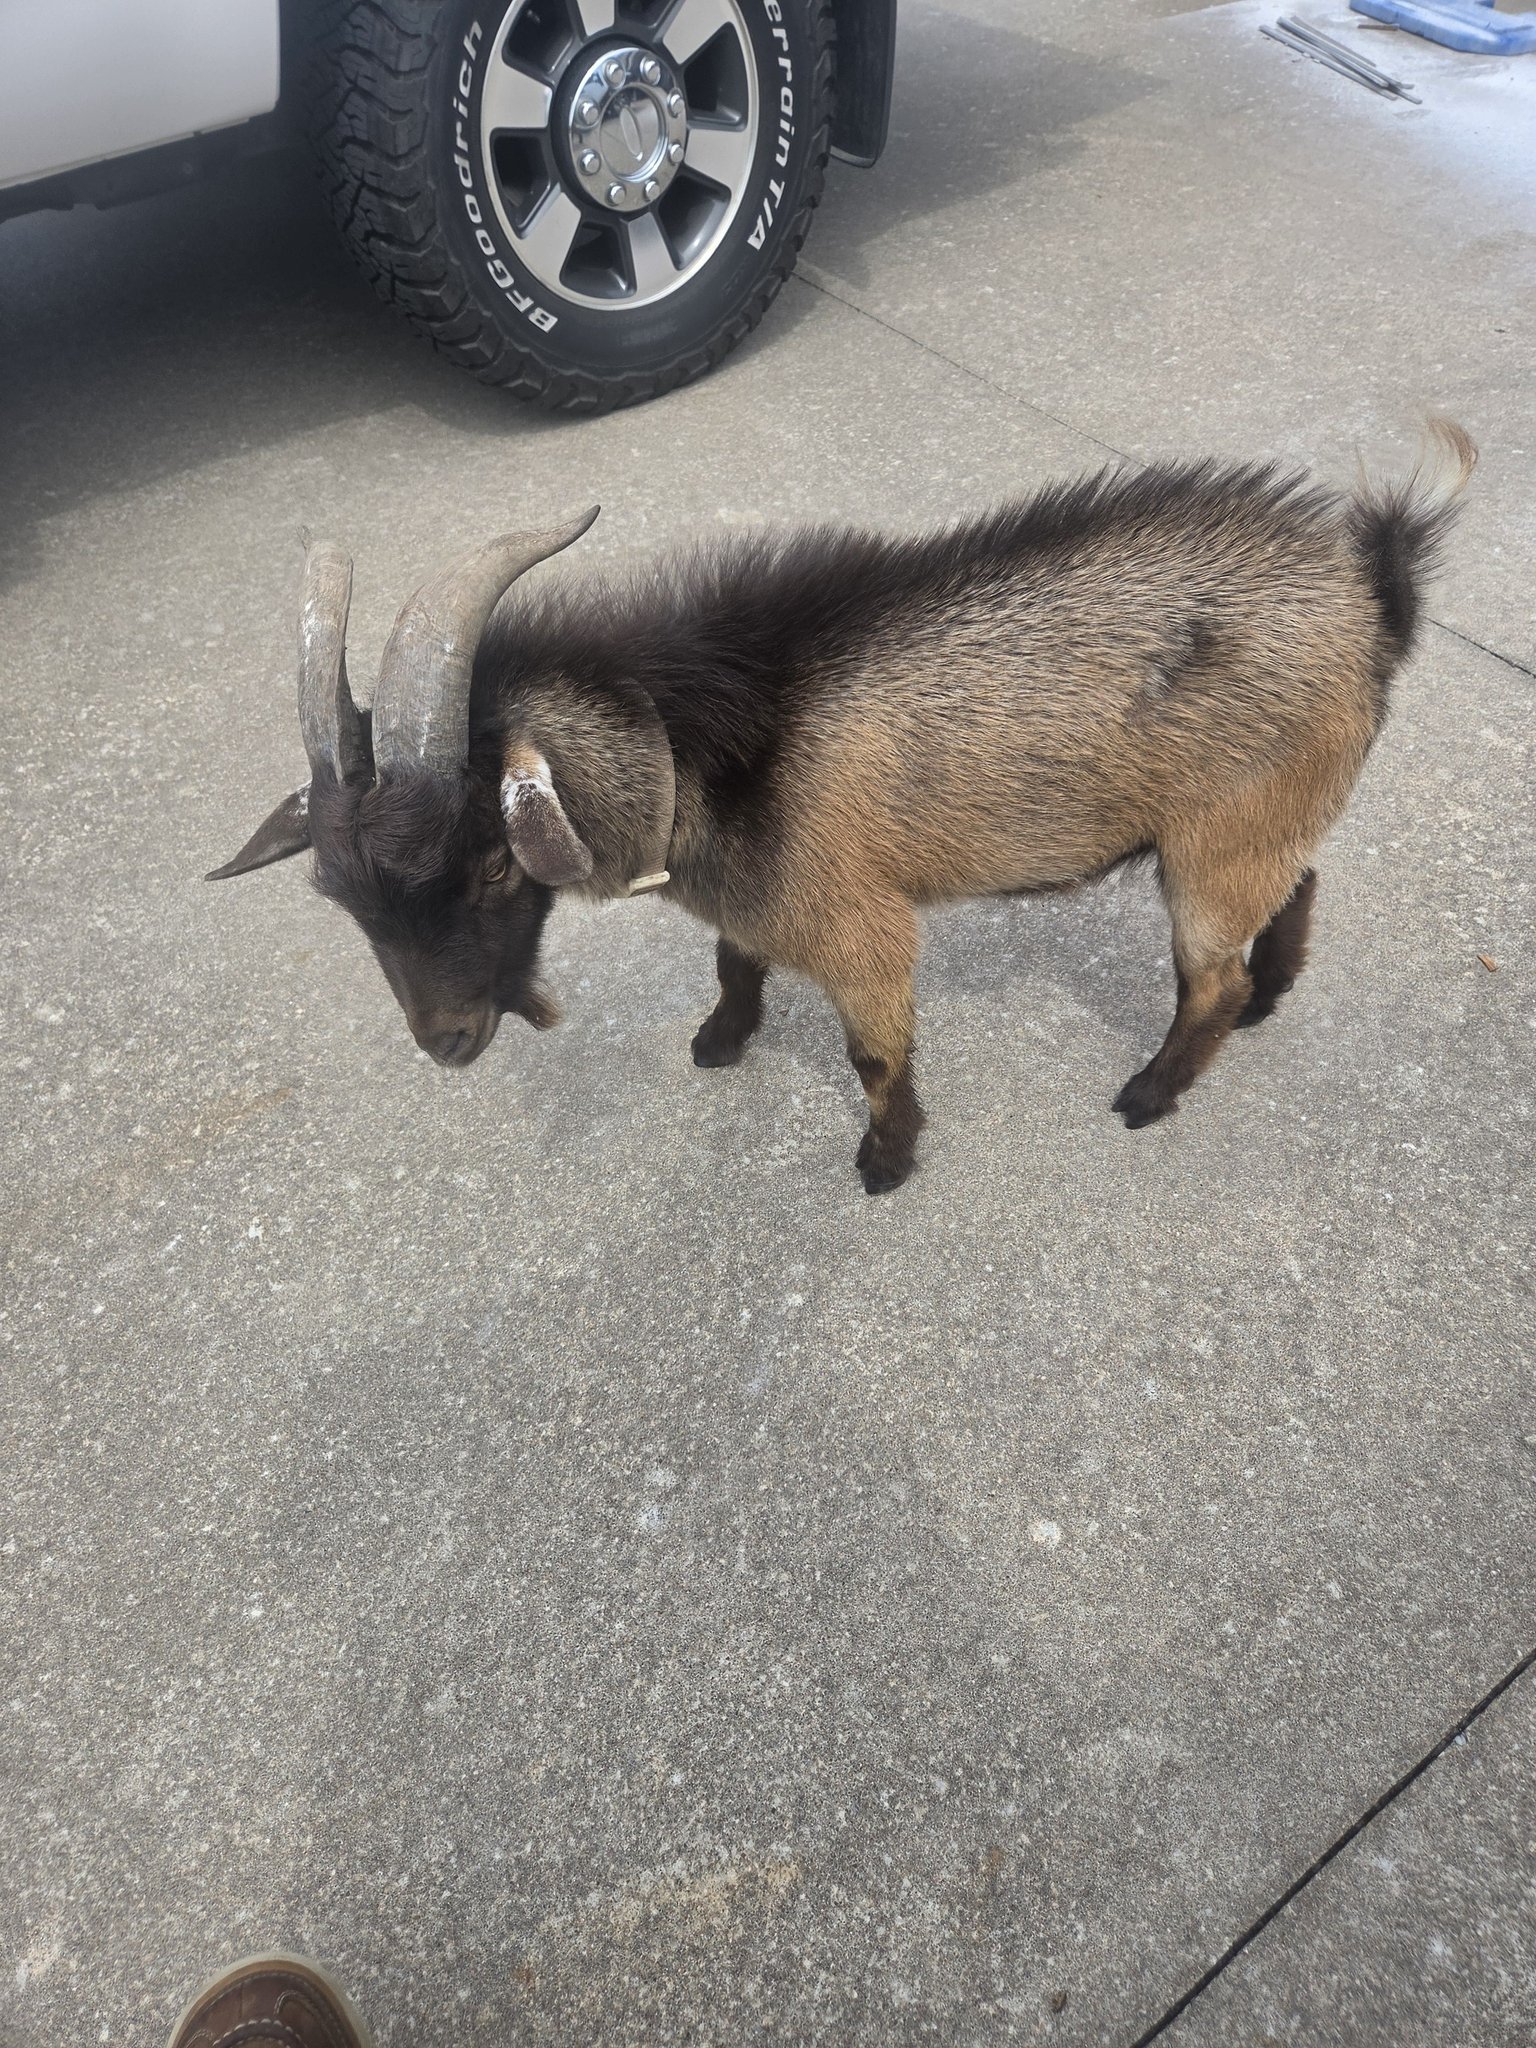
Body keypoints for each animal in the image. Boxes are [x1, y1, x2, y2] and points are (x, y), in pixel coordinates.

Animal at [209, 423, 1475, 1192]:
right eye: (339, 899)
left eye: (486, 865)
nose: (448, 1042)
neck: (702, 741)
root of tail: (1376, 586)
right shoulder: (755, 903)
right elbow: (734, 961)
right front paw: (721, 1039)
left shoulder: (860, 925)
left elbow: (874, 1049)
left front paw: (887, 1160)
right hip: (1258, 812)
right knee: (1302, 880)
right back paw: (1273, 998)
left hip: (1217, 837)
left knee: (1206, 976)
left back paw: (1151, 1093)